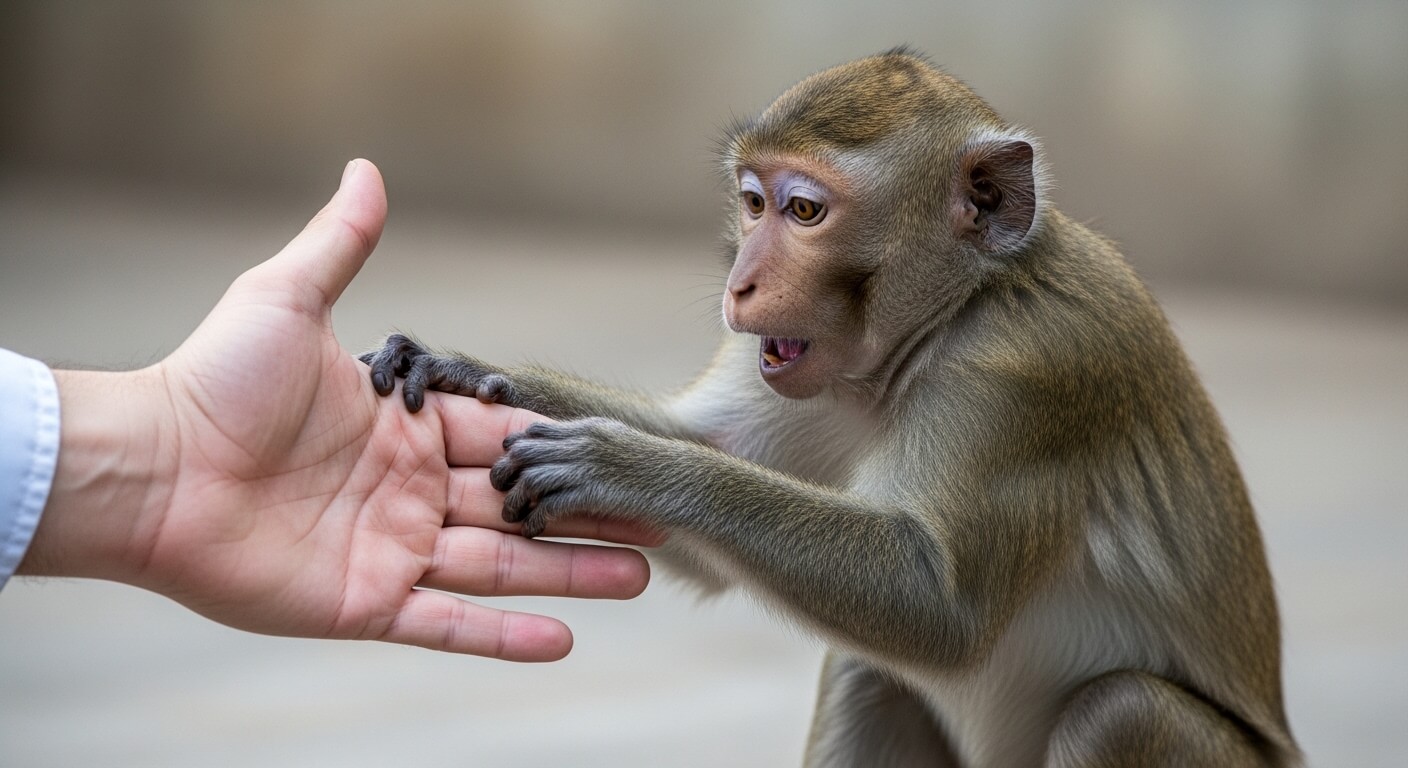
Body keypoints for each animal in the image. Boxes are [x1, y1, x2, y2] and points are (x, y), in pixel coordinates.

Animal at [361, 49, 1300, 767]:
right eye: (752, 202)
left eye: (804, 210)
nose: (740, 282)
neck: (946, 321)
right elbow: (714, 473)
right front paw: (463, 370)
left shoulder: (1028, 376)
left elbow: (938, 608)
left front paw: (623, 464)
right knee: (869, 671)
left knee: (1121, 711)